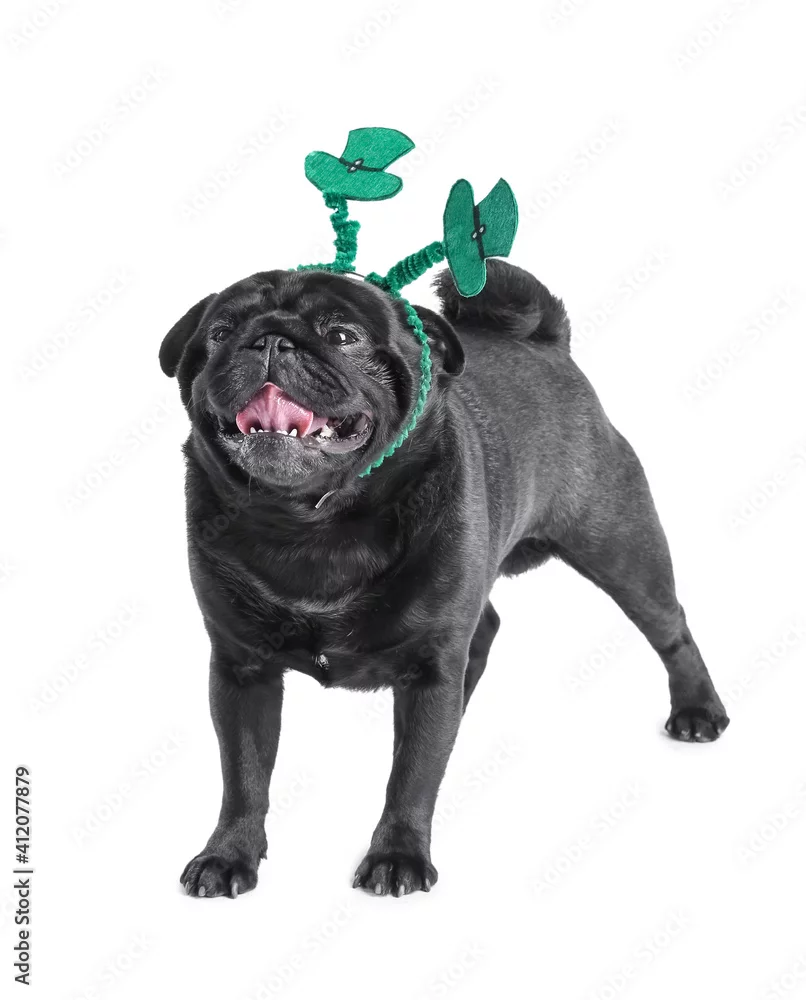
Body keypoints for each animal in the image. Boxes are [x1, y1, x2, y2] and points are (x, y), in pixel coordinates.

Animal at [160, 260, 729, 899]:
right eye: (219, 333)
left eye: (342, 336)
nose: (270, 340)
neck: (313, 524)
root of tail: (547, 342)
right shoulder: (241, 670)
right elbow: (244, 775)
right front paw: (228, 854)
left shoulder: (431, 666)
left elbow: (411, 776)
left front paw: (397, 855)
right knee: (484, 630)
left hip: (621, 549)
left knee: (670, 627)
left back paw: (699, 711)